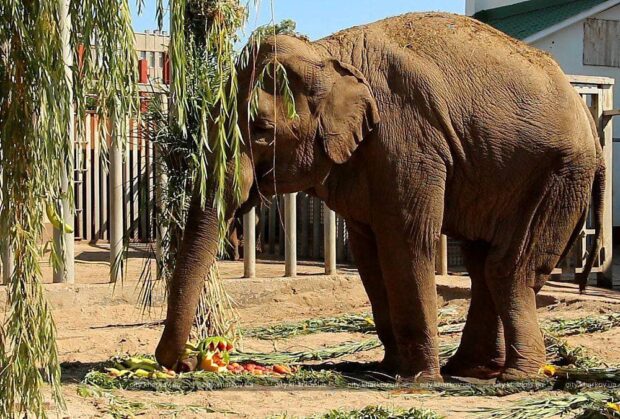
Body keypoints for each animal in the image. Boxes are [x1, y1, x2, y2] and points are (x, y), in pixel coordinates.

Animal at [156, 11, 604, 382]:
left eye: (262, 130)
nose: (185, 362)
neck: (328, 53)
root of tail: (586, 113)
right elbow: (368, 251)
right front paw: (388, 370)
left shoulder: (407, 140)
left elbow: (406, 240)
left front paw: (419, 380)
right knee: (483, 264)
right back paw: (469, 371)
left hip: (560, 174)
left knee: (507, 268)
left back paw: (513, 378)